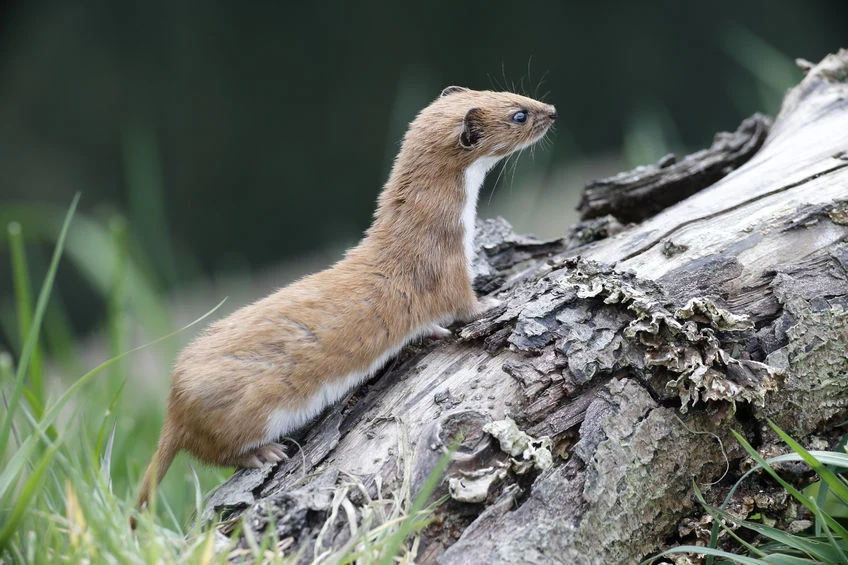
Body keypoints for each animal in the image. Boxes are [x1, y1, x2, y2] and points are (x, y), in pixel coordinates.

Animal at [135, 86, 552, 512]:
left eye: (508, 92)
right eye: (518, 114)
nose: (551, 111)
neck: (452, 231)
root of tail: (174, 399)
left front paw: (434, 331)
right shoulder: (447, 272)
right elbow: (465, 307)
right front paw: (492, 304)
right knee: (213, 451)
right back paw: (263, 453)